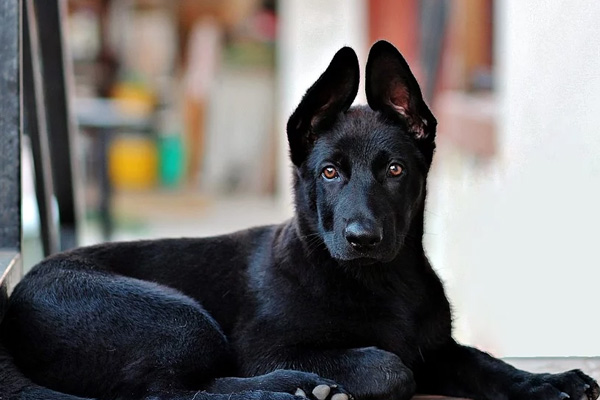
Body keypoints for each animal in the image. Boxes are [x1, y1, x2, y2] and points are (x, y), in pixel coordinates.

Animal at [0, 40, 596, 400]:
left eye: (396, 169)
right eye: (329, 172)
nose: (362, 238)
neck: (381, 281)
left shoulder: (439, 348)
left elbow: (484, 363)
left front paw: (547, 382)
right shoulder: (264, 347)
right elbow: (390, 365)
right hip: (179, 318)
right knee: (165, 391)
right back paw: (287, 387)